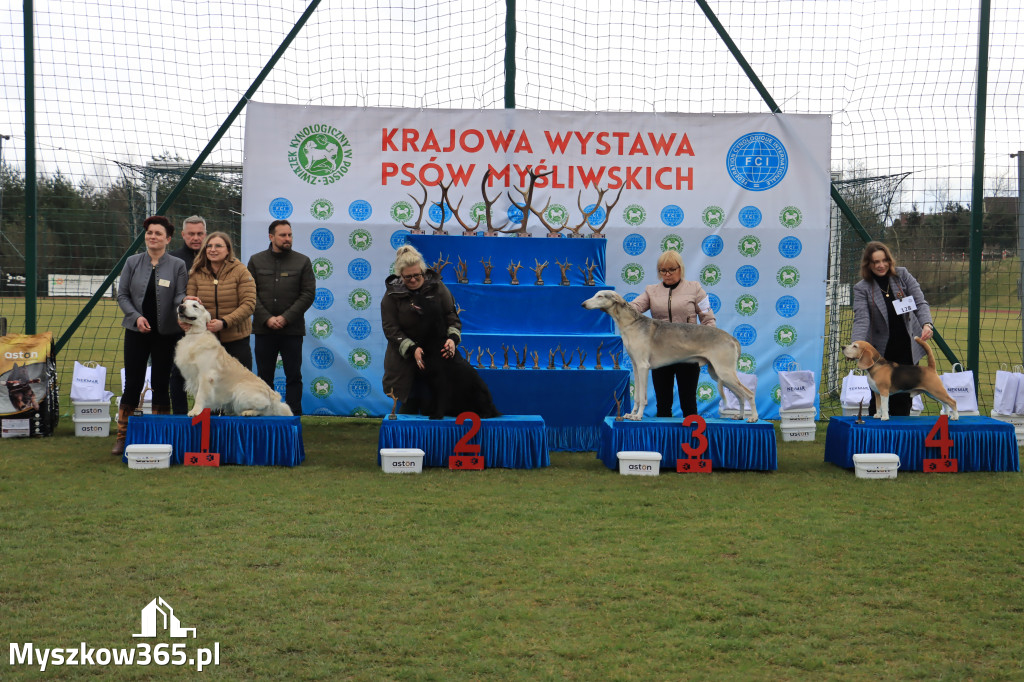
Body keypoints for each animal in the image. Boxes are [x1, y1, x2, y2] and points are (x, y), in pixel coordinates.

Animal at [581, 290, 757, 419]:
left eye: (600, 296)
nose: (583, 304)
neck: (632, 323)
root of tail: (731, 338)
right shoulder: (636, 368)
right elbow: (636, 396)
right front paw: (631, 414)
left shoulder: (643, 367)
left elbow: (643, 397)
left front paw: (638, 416)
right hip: (718, 374)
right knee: (740, 396)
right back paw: (740, 416)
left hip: (724, 372)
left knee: (749, 394)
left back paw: (753, 417)